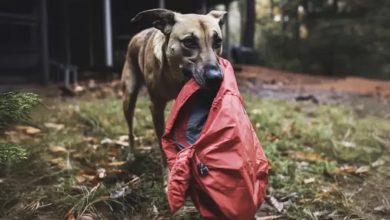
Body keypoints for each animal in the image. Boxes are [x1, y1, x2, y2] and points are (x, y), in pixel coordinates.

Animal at [121, 8, 225, 163]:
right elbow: (162, 142)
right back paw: (131, 154)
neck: (175, 78)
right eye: (189, 42)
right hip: (129, 97)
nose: (216, 78)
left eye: (218, 42)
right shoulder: (156, 107)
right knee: (130, 129)